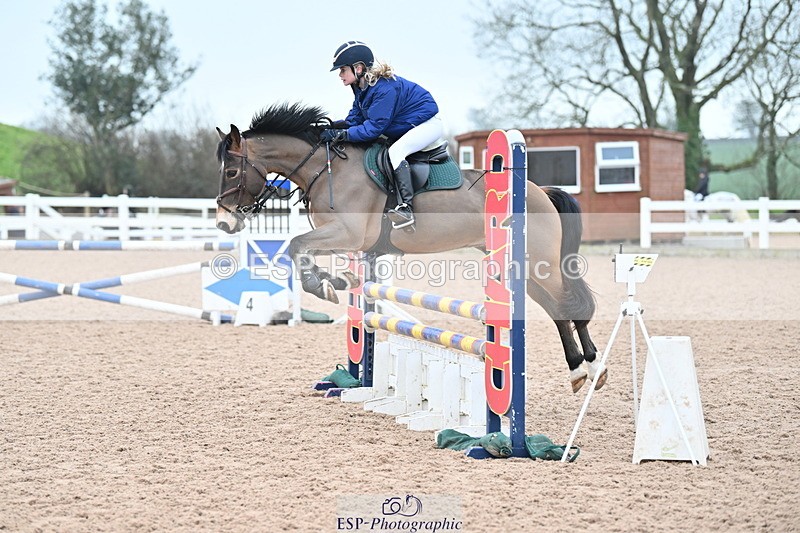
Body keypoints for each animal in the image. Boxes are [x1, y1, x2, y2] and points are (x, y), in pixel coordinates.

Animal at [214, 102, 605, 393]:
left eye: (231, 172)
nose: (224, 222)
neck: (325, 168)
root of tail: (541, 191)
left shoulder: (349, 233)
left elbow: (296, 246)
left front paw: (324, 286)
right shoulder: (345, 239)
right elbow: (305, 252)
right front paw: (336, 281)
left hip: (541, 263)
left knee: (569, 303)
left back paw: (593, 368)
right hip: (524, 269)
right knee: (557, 309)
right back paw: (579, 370)